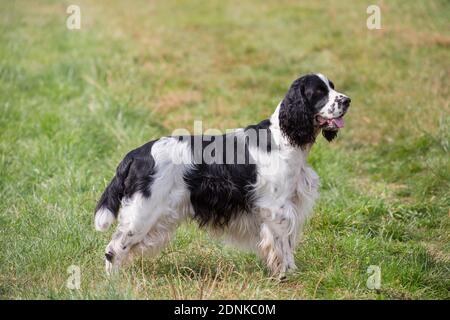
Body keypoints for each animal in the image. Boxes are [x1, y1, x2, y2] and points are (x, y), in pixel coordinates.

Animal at [93, 73, 350, 278]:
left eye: (332, 86)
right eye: (319, 92)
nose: (347, 100)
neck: (284, 139)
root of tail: (136, 154)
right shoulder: (277, 208)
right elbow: (283, 246)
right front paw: (288, 275)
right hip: (143, 212)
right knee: (114, 248)